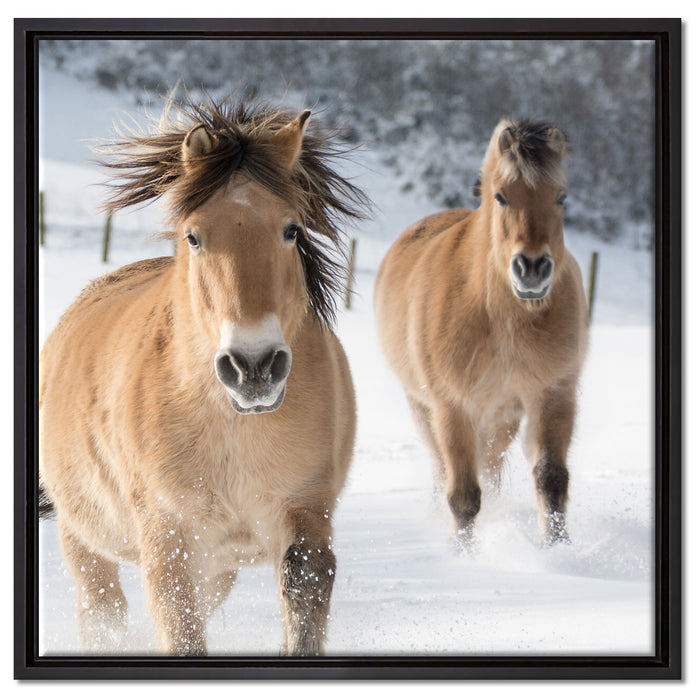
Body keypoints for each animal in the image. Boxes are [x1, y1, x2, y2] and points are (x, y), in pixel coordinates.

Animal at [39, 92, 369, 656]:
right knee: (103, 611)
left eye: (291, 229)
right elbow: (180, 632)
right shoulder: (169, 539)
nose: (253, 366)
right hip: (85, 538)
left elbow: (302, 601)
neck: (232, 427)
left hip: (219, 567)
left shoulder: (304, 511)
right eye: (193, 236)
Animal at [374, 118, 588, 548]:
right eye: (501, 196)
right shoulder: (452, 407)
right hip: (424, 408)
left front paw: (558, 550)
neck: (501, 319)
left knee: (490, 468)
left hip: (502, 417)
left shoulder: (553, 394)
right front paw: (463, 554)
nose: (532, 269)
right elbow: (463, 495)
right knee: (444, 471)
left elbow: (551, 478)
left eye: (561, 197)